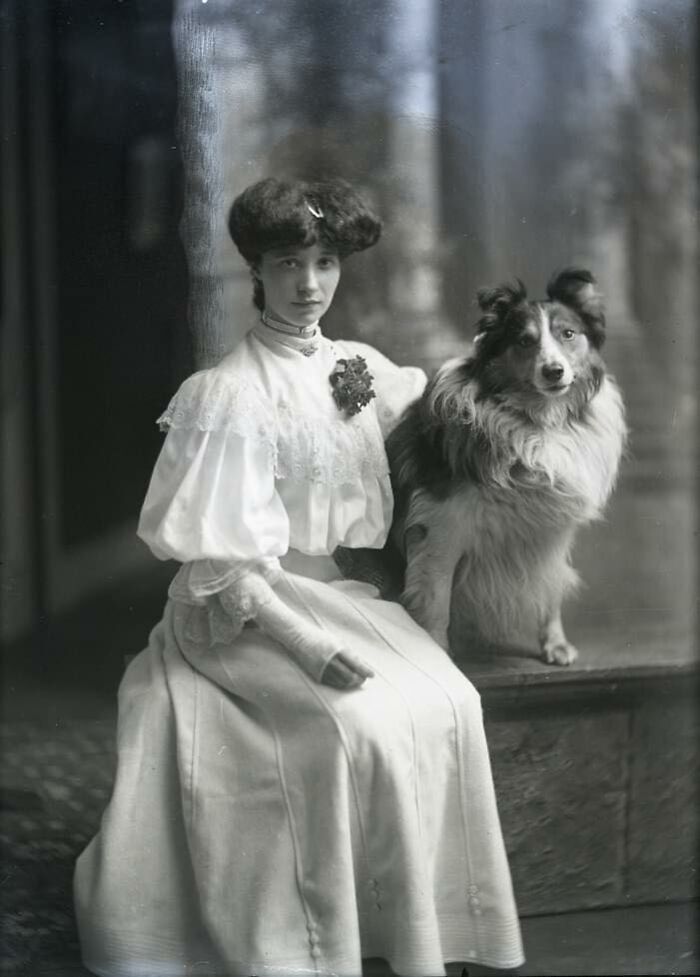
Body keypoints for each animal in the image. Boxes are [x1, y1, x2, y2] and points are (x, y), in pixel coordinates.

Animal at [388, 266, 628, 664]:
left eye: (568, 334)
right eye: (524, 341)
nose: (554, 371)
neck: (539, 422)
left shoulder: (549, 530)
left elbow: (550, 590)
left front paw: (555, 644)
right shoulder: (440, 526)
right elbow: (435, 600)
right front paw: (440, 659)